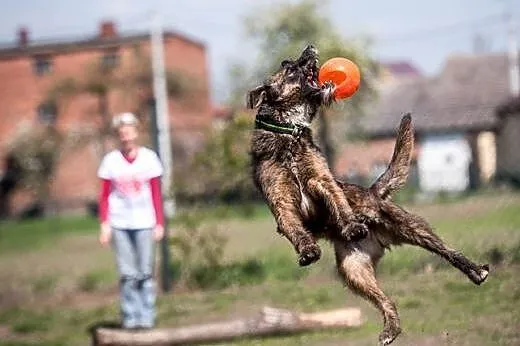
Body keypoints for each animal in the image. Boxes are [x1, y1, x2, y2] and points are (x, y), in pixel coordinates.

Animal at [246, 44, 490, 344]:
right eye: (289, 67)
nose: (310, 48)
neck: (289, 134)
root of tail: (374, 193)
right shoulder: (281, 201)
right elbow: (295, 229)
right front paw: (308, 250)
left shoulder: (322, 180)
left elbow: (338, 200)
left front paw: (351, 225)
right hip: (354, 271)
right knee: (387, 301)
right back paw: (390, 329)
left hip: (412, 226)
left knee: (447, 251)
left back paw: (475, 270)